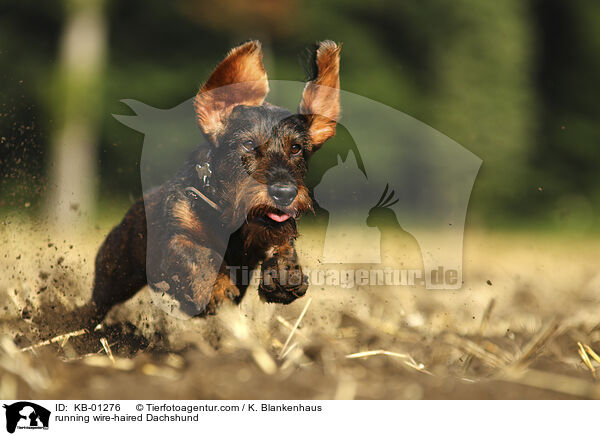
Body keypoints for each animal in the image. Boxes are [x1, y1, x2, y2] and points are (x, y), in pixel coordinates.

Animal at [81, 41, 340, 326]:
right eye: (248, 144)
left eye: (296, 148)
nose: (284, 193)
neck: (229, 219)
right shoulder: (177, 237)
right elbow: (198, 256)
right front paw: (216, 287)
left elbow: (282, 241)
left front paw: (286, 274)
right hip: (113, 275)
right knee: (94, 304)